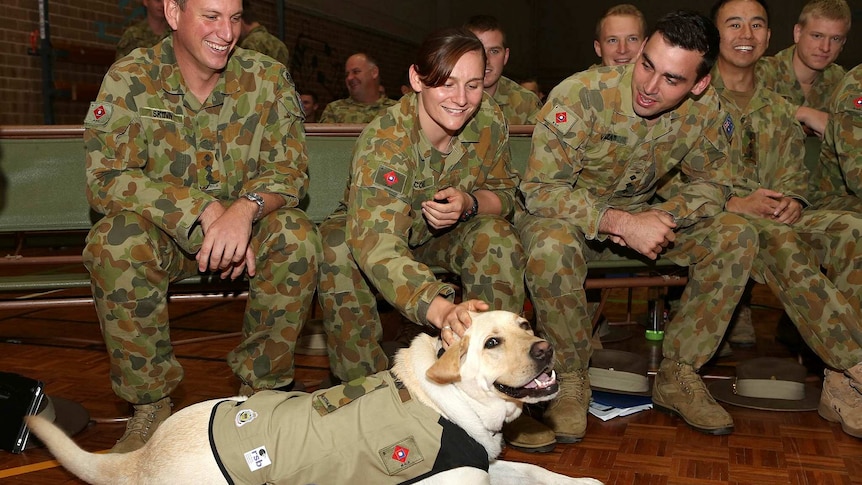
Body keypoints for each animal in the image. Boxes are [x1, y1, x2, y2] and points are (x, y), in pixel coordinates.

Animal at [30, 310, 604, 484]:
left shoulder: (484, 463)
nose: (546, 347)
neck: (447, 406)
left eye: (525, 325)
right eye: (491, 343)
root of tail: (143, 458)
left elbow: (536, 471)